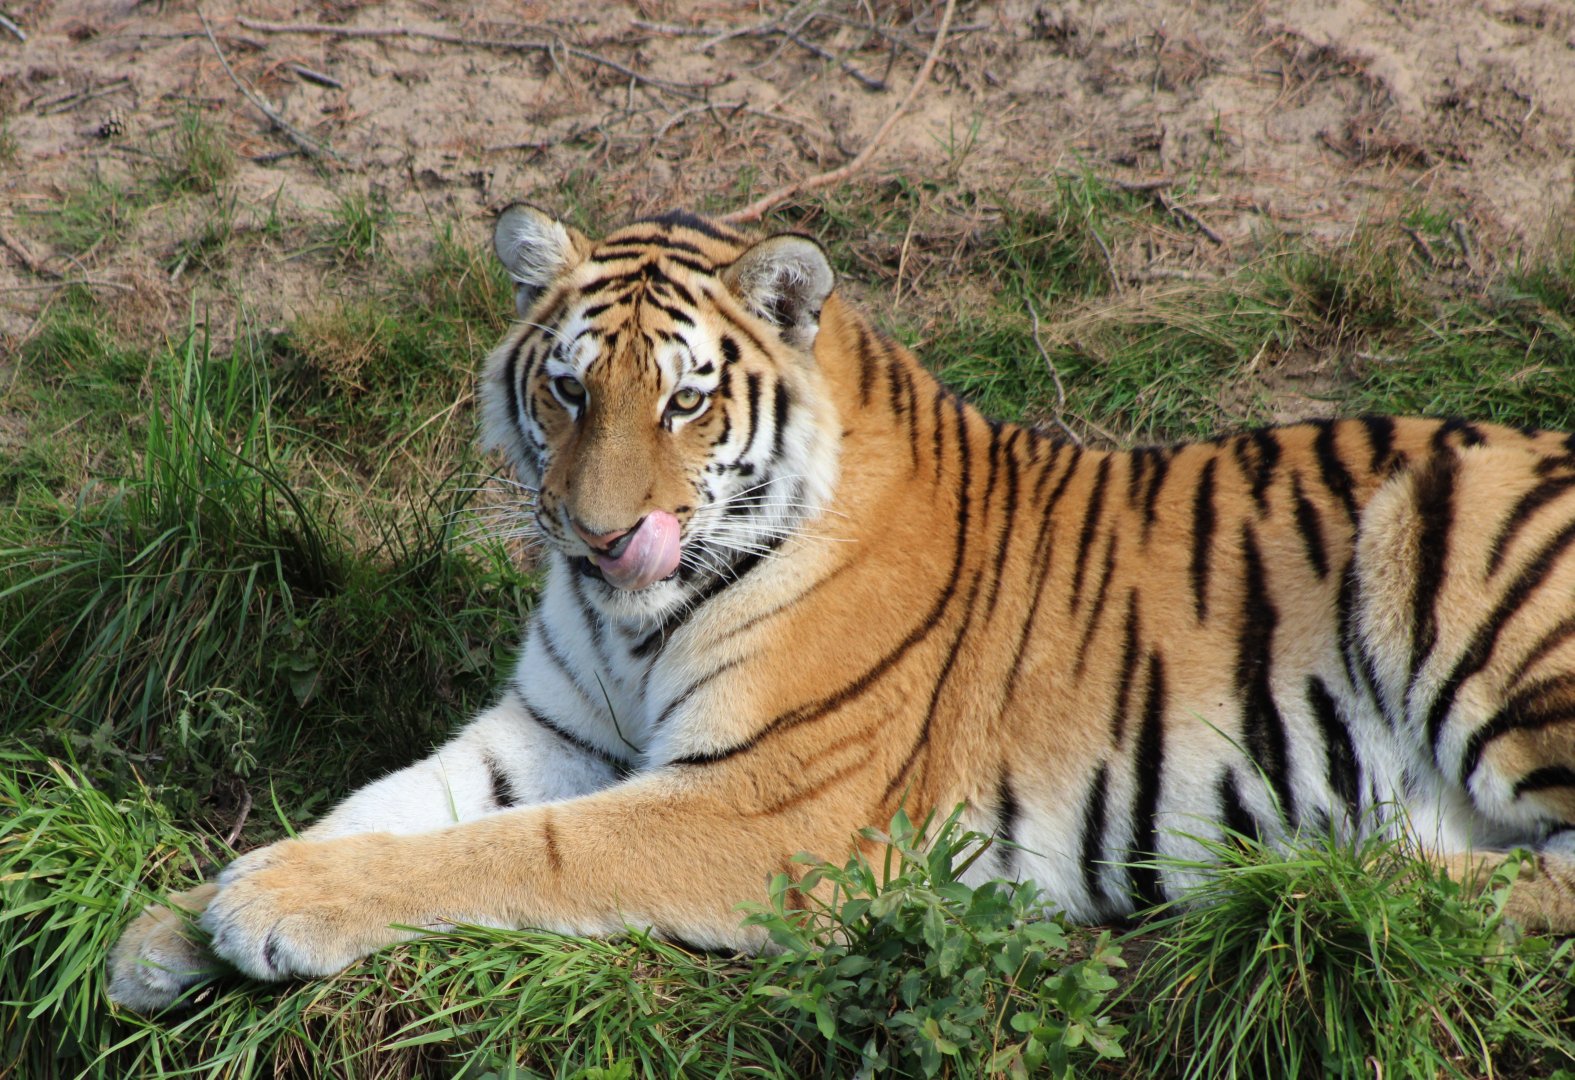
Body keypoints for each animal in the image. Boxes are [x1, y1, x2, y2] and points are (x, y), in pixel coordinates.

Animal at [108, 205, 1575, 1013]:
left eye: (685, 402)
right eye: (569, 390)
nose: (599, 537)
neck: (631, 623)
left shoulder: (763, 803)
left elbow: (517, 853)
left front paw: (266, 906)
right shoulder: (548, 731)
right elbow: (383, 803)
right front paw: (164, 929)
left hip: (1464, 552)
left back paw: (1331, 871)